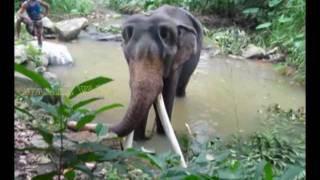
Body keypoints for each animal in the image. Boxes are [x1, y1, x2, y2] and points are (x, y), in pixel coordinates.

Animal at [109, 4, 202, 141]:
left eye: (166, 57)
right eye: (128, 58)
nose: (148, 136)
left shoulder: (176, 61)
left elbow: (168, 91)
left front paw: (161, 134)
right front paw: (138, 140)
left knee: (182, 85)